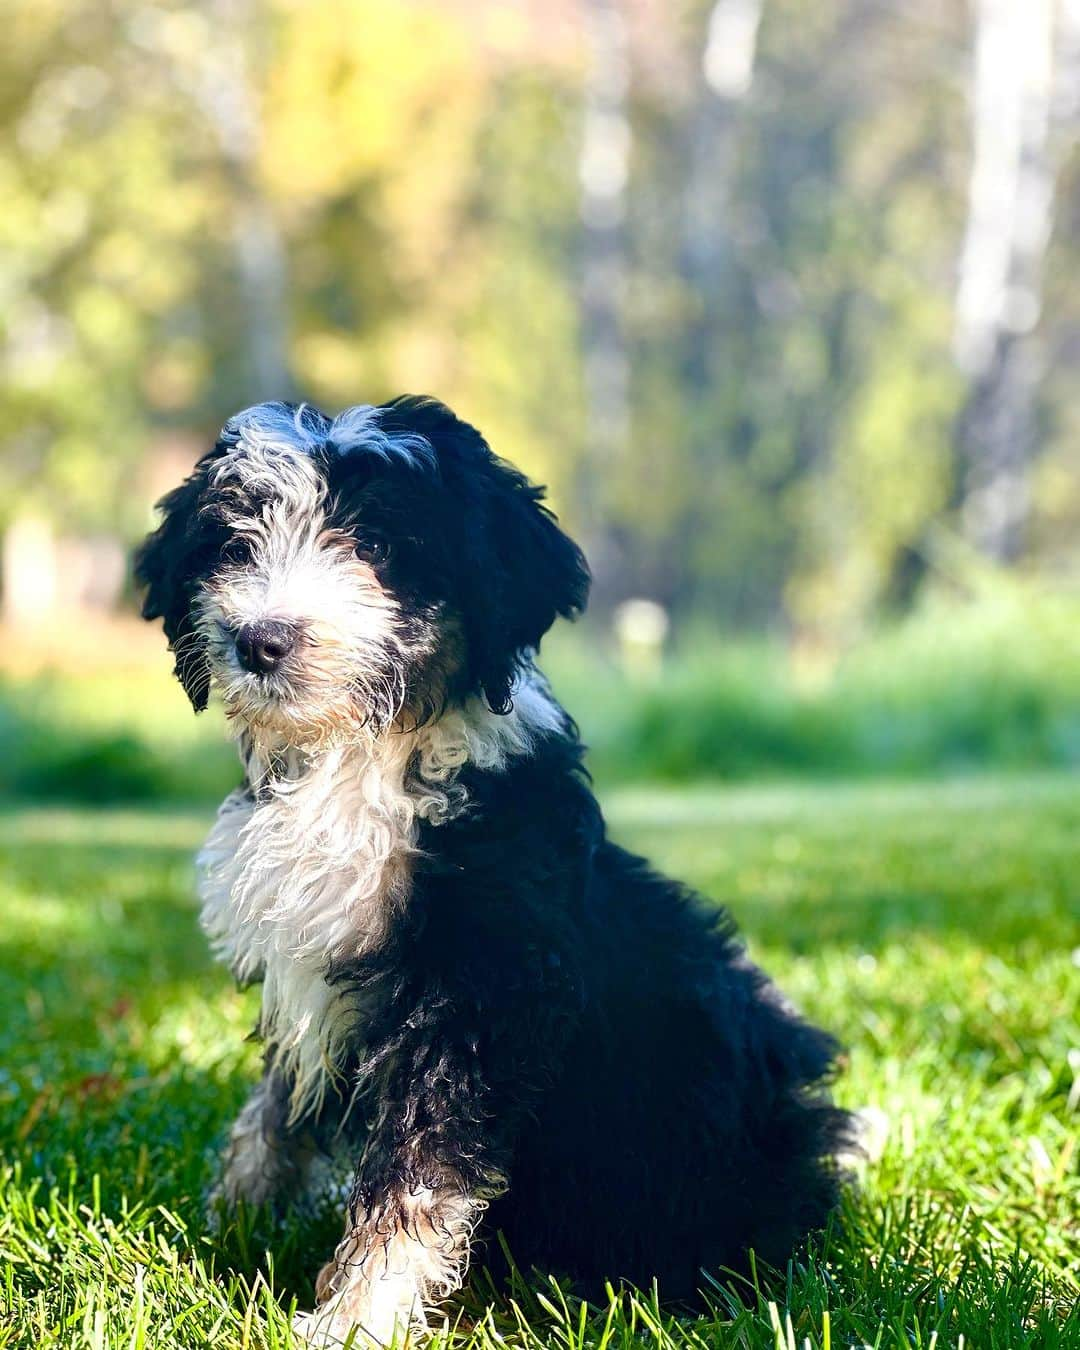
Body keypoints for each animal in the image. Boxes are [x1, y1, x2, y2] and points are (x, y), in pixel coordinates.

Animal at [137, 394, 853, 1344]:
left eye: (377, 544)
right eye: (233, 542)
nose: (260, 640)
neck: (363, 762)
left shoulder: (476, 1004)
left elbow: (414, 1178)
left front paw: (354, 1317)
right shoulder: (313, 981)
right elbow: (271, 1122)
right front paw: (223, 1228)